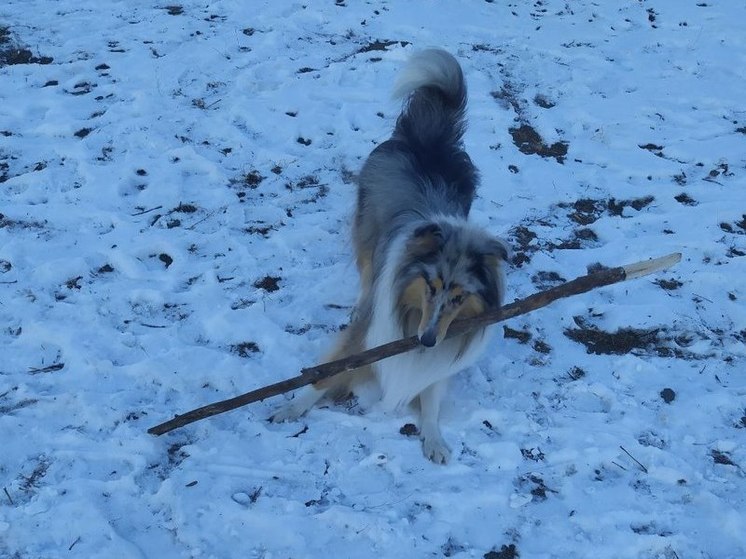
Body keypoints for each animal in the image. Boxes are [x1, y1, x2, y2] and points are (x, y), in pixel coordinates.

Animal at [270, 49, 508, 464]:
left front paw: (434, 438)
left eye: (460, 297)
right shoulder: (369, 331)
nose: (426, 341)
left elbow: (430, 396)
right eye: (430, 285)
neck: (410, 314)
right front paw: (291, 408)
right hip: (366, 235)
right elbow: (327, 372)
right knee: (366, 273)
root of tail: (426, 135)